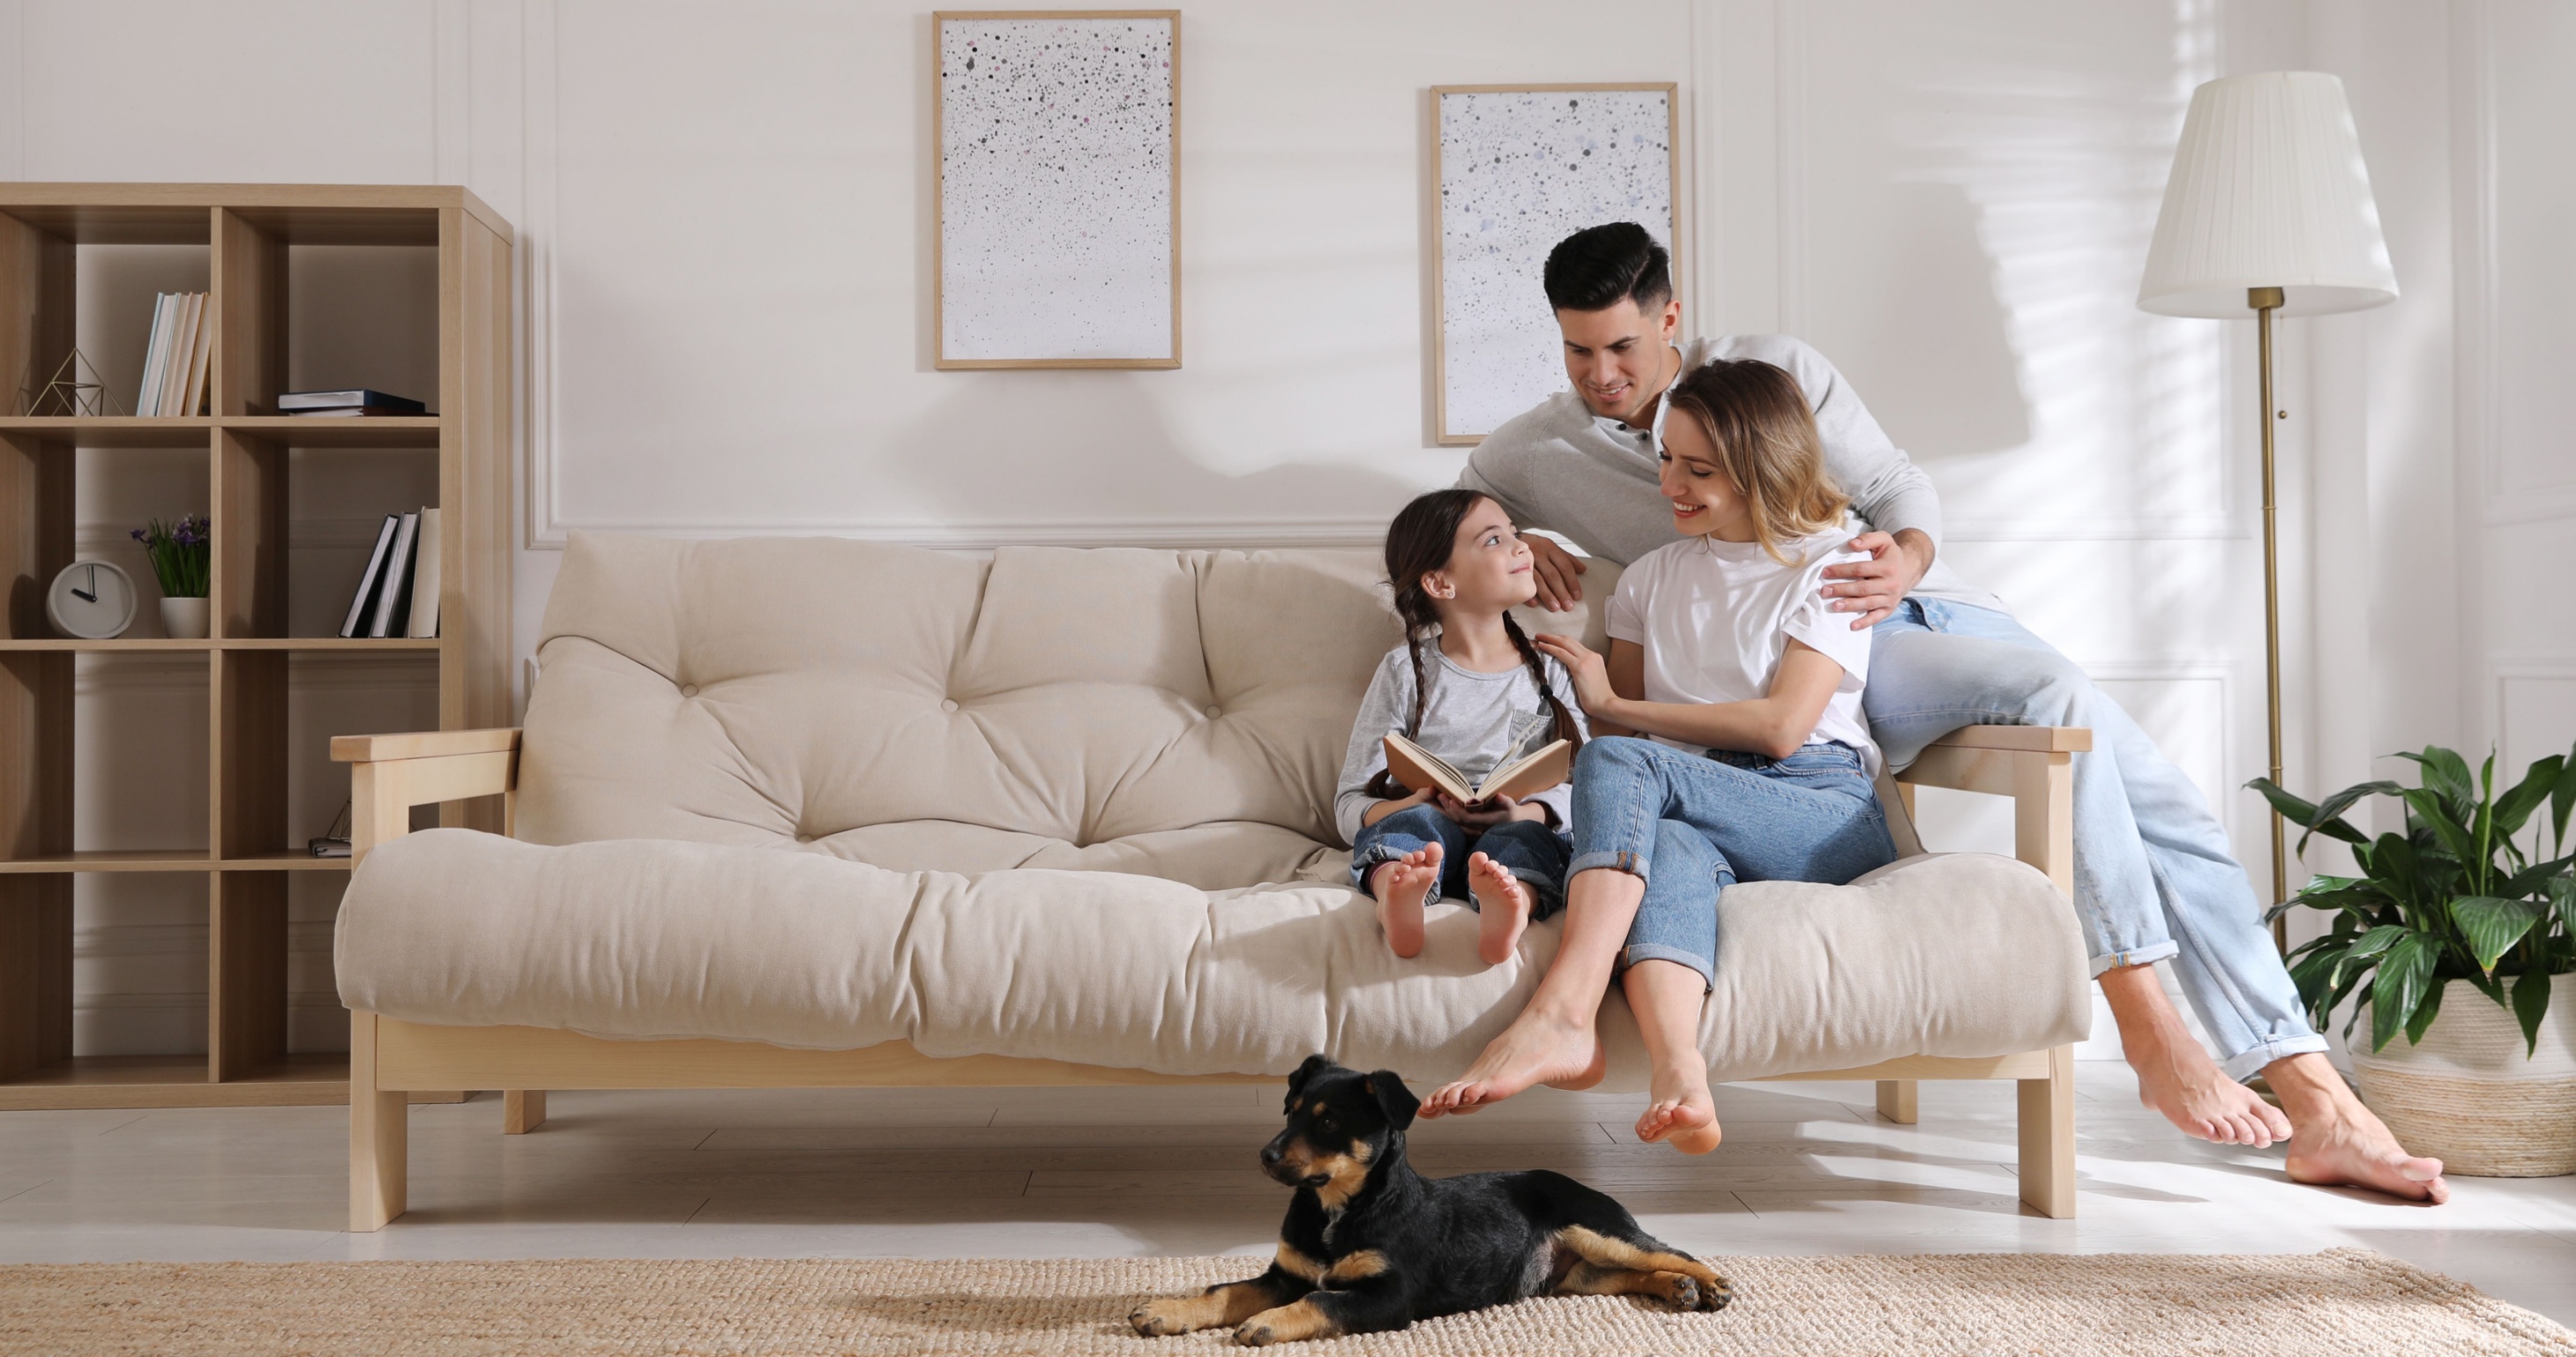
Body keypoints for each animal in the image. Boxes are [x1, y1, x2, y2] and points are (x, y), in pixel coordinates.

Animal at [1128, 1055, 1730, 1338]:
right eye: (1291, 1110)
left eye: (1328, 1122)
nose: (1266, 1156)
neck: (1338, 1208)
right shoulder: (1287, 1274)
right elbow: (1224, 1291)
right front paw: (1165, 1311)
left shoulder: (1388, 1295)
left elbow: (1320, 1301)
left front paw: (1268, 1323)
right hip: (1574, 1274)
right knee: (1628, 1273)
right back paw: (1676, 1289)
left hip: (1596, 1227)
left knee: (1666, 1251)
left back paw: (1710, 1284)